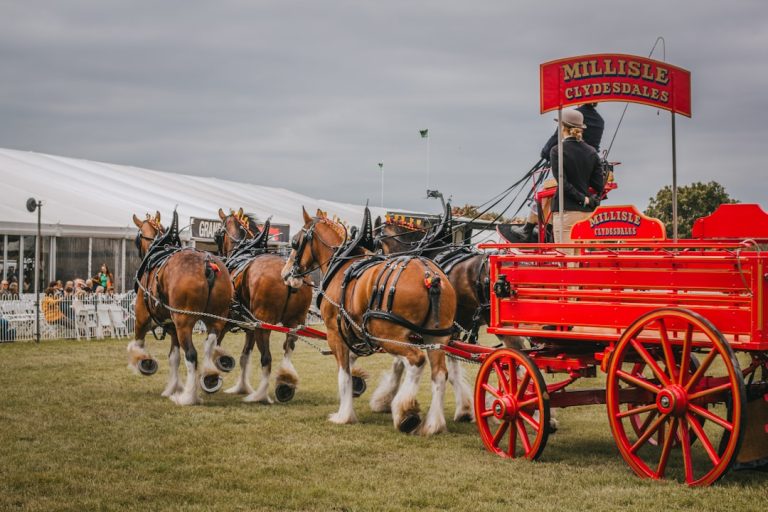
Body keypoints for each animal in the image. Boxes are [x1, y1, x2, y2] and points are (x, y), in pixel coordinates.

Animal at [129, 211, 232, 404]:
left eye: (137, 239)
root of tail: (207, 264)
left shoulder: (141, 318)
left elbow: (137, 346)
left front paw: (144, 362)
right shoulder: (172, 327)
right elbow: (174, 358)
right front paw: (171, 388)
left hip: (184, 323)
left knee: (191, 355)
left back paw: (188, 397)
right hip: (216, 319)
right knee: (209, 344)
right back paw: (209, 377)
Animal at [216, 208, 312, 404]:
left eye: (217, 235)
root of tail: (290, 277)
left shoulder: (226, 321)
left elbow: (215, 347)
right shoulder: (250, 327)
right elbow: (244, 356)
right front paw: (241, 387)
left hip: (264, 325)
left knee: (266, 358)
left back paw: (260, 395)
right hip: (294, 322)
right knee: (288, 348)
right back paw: (285, 383)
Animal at [284, 206, 460, 434]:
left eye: (295, 242)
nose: (286, 273)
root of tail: (430, 277)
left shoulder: (335, 334)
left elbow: (344, 375)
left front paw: (344, 415)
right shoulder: (354, 334)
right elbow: (351, 367)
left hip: (389, 335)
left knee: (416, 361)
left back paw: (406, 412)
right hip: (435, 337)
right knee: (439, 374)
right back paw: (433, 425)